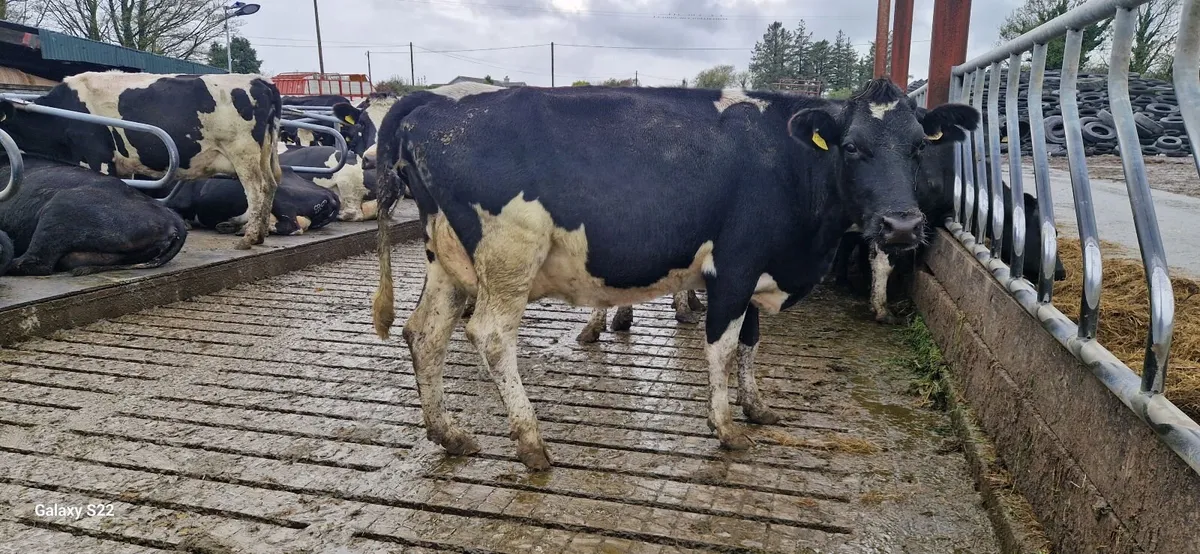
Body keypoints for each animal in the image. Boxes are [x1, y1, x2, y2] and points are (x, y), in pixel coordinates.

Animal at [0, 71, 282, 250]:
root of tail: (260, 81)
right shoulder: (123, 165)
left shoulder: (96, 156)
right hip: (265, 154)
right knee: (271, 185)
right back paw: (260, 235)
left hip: (242, 152)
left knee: (257, 190)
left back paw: (248, 239)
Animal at [368, 78, 979, 470]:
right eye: (851, 148)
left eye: (919, 147)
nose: (902, 225)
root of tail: (436, 104)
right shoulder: (734, 266)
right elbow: (723, 347)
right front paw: (725, 428)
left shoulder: (756, 272)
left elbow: (752, 342)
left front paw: (757, 408)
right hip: (509, 256)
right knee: (490, 336)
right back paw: (531, 444)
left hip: (448, 261)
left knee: (425, 333)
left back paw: (449, 434)